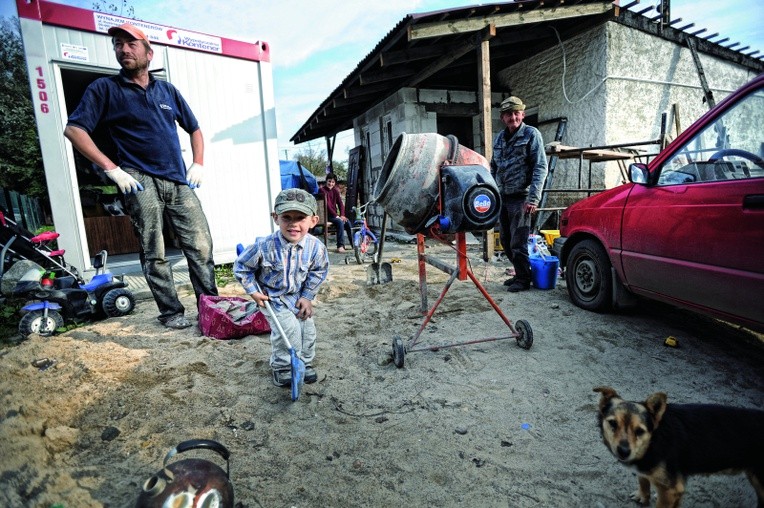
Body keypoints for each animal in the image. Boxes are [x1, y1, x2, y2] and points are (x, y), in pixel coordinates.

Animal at [596, 386, 764, 506]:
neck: (654, 440)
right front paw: (642, 496)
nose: (624, 452)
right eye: (612, 423)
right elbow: (643, 480)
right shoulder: (669, 485)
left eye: (640, 431)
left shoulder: (670, 490)